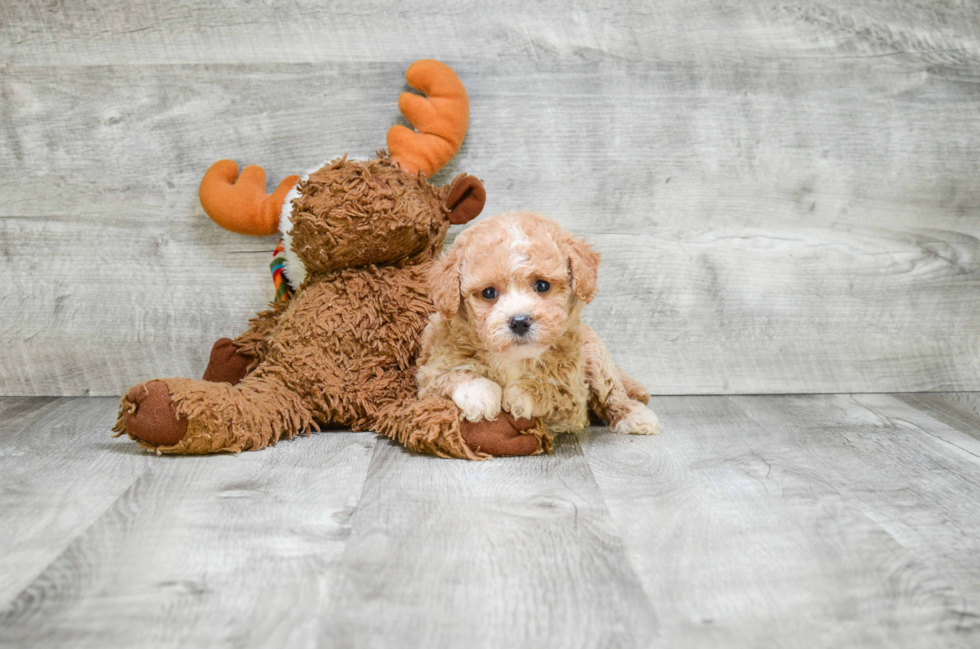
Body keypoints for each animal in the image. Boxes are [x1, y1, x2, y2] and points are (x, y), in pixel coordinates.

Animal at [418, 210, 664, 438]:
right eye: (488, 293)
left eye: (542, 285)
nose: (519, 322)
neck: (513, 359)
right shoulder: (430, 371)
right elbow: (452, 374)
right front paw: (480, 394)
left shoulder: (573, 399)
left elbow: (551, 391)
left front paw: (519, 393)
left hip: (594, 355)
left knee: (612, 390)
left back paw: (635, 415)